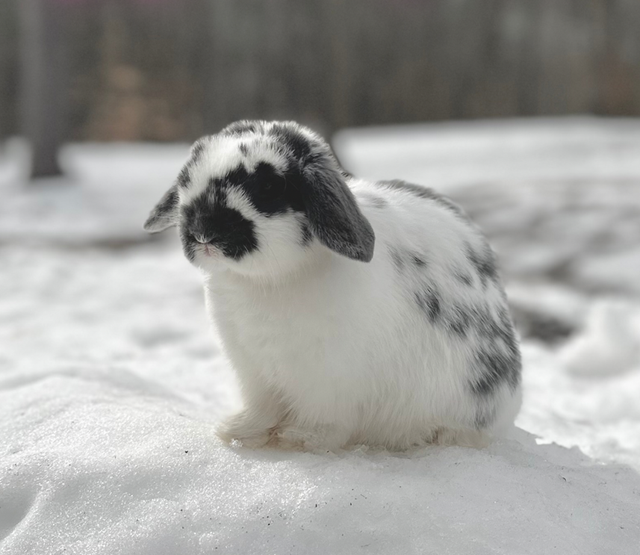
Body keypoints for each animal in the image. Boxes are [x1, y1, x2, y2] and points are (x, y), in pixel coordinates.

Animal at [144, 120, 522, 451]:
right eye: (187, 178)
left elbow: (325, 419)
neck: (268, 279)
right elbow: (262, 409)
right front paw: (237, 432)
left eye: (269, 187)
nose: (203, 231)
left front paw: (301, 439)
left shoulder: (329, 379)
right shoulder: (255, 373)